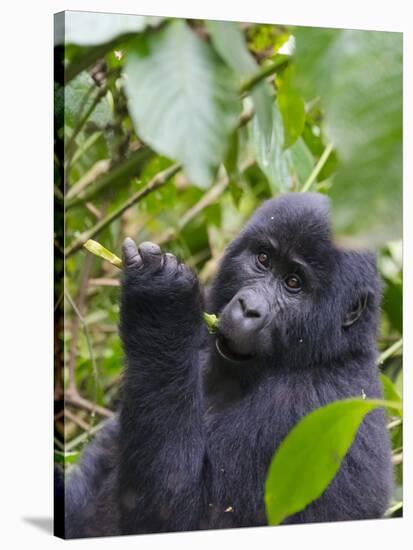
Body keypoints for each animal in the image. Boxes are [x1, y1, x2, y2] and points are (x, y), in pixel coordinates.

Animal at [59, 193, 392, 540]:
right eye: (263, 260)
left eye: (293, 283)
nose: (248, 308)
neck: (329, 352)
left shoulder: (304, 406)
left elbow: (175, 518)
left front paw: (160, 302)